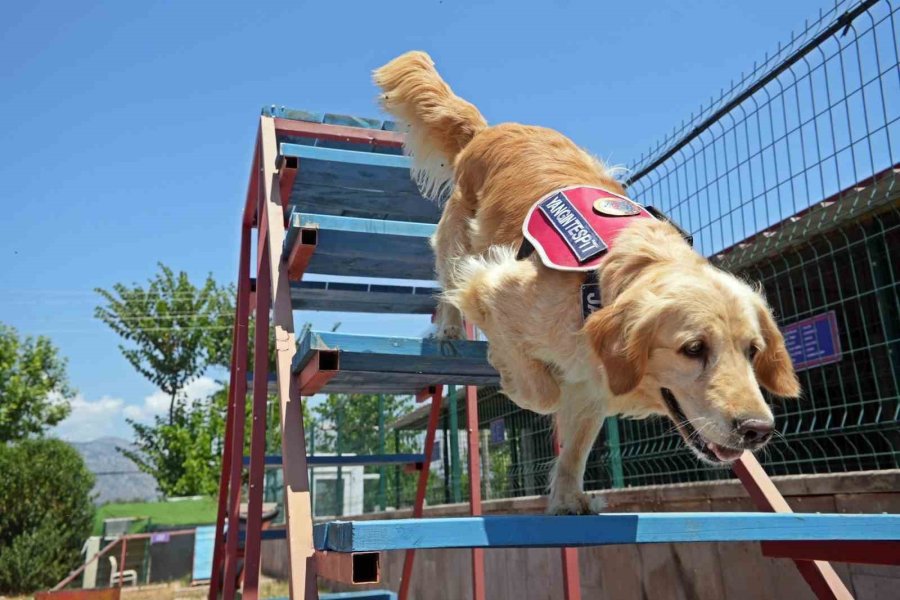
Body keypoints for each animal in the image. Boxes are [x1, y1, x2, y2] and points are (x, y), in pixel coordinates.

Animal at [374, 50, 800, 516]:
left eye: (753, 351)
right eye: (693, 349)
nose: (757, 429)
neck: (597, 288)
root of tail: (488, 129)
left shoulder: (593, 382)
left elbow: (576, 447)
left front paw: (568, 499)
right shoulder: (490, 285)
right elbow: (541, 393)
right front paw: (516, 382)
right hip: (458, 239)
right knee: (447, 281)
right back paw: (449, 329)